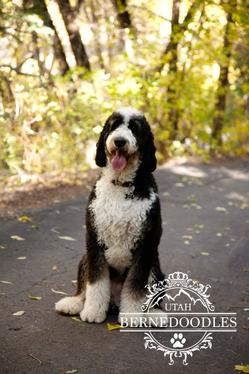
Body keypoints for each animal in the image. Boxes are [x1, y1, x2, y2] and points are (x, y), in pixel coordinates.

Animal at [56, 106, 165, 322]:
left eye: (134, 128)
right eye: (113, 126)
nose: (119, 141)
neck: (120, 185)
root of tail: (115, 301)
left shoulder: (146, 244)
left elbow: (136, 285)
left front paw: (131, 316)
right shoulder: (94, 240)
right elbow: (96, 283)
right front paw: (92, 311)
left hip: (155, 266)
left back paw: (154, 313)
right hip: (85, 258)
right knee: (83, 288)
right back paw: (73, 303)